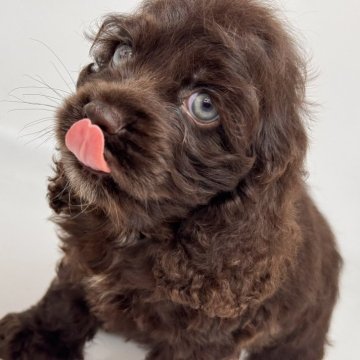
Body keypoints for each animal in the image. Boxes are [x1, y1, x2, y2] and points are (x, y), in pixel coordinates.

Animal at [0, 0, 340, 360]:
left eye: (205, 105)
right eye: (122, 53)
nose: (98, 115)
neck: (133, 230)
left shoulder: (203, 337)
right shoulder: (81, 255)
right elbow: (65, 295)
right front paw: (35, 339)